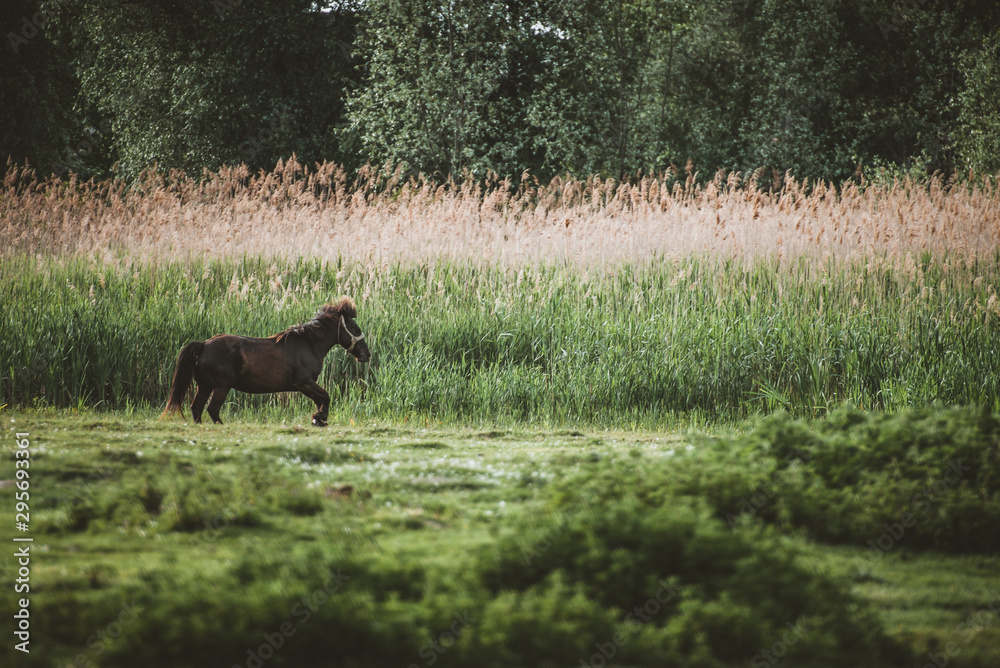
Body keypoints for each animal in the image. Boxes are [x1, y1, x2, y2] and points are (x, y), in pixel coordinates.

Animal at [163, 296, 370, 426]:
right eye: (355, 328)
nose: (366, 355)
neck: (308, 344)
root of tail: (204, 345)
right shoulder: (304, 383)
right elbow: (325, 397)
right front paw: (319, 418)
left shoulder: (306, 385)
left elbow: (322, 399)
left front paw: (319, 419)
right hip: (221, 386)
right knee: (212, 408)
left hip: (205, 385)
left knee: (196, 407)